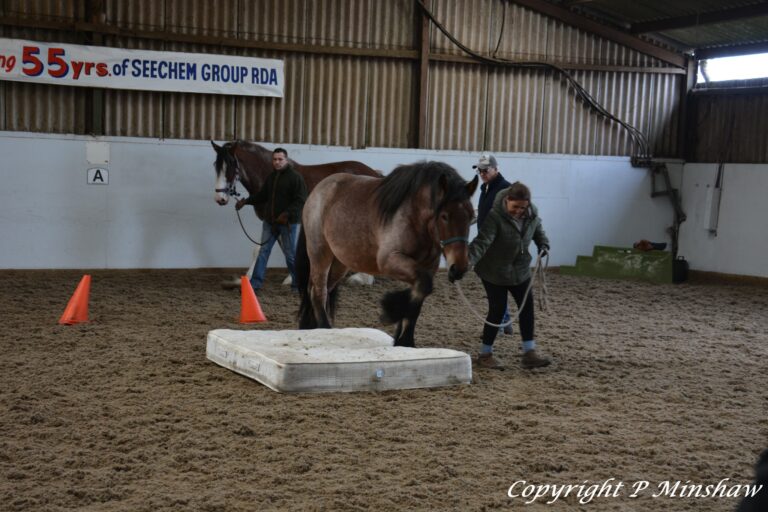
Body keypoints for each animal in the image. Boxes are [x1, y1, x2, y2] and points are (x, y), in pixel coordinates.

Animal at [296, 161, 479, 347]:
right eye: (444, 216)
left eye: (471, 216)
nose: (459, 268)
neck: (414, 217)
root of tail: (318, 190)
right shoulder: (390, 261)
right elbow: (423, 287)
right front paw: (393, 314)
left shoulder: (426, 267)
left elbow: (418, 297)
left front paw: (405, 341)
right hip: (320, 253)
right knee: (318, 291)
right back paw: (323, 328)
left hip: (340, 263)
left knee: (321, 289)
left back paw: (312, 327)